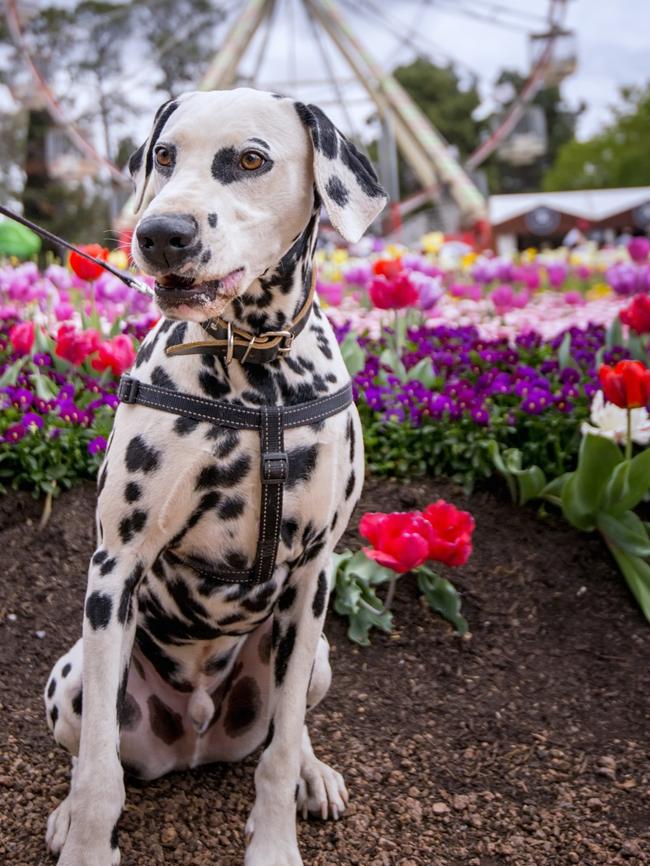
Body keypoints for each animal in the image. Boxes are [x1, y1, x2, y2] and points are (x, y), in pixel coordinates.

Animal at [44, 89, 384, 864]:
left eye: (251, 160)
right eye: (165, 155)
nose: (159, 233)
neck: (257, 373)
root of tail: (195, 736)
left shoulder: (313, 577)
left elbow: (279, 753)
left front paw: (276, 842)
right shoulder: (116, 566)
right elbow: (101, 769)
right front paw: (86, 838)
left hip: (317, 653)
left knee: (288, 727)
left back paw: (314, 774)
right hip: (70, 675)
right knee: (86, 754)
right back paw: (66, 812)